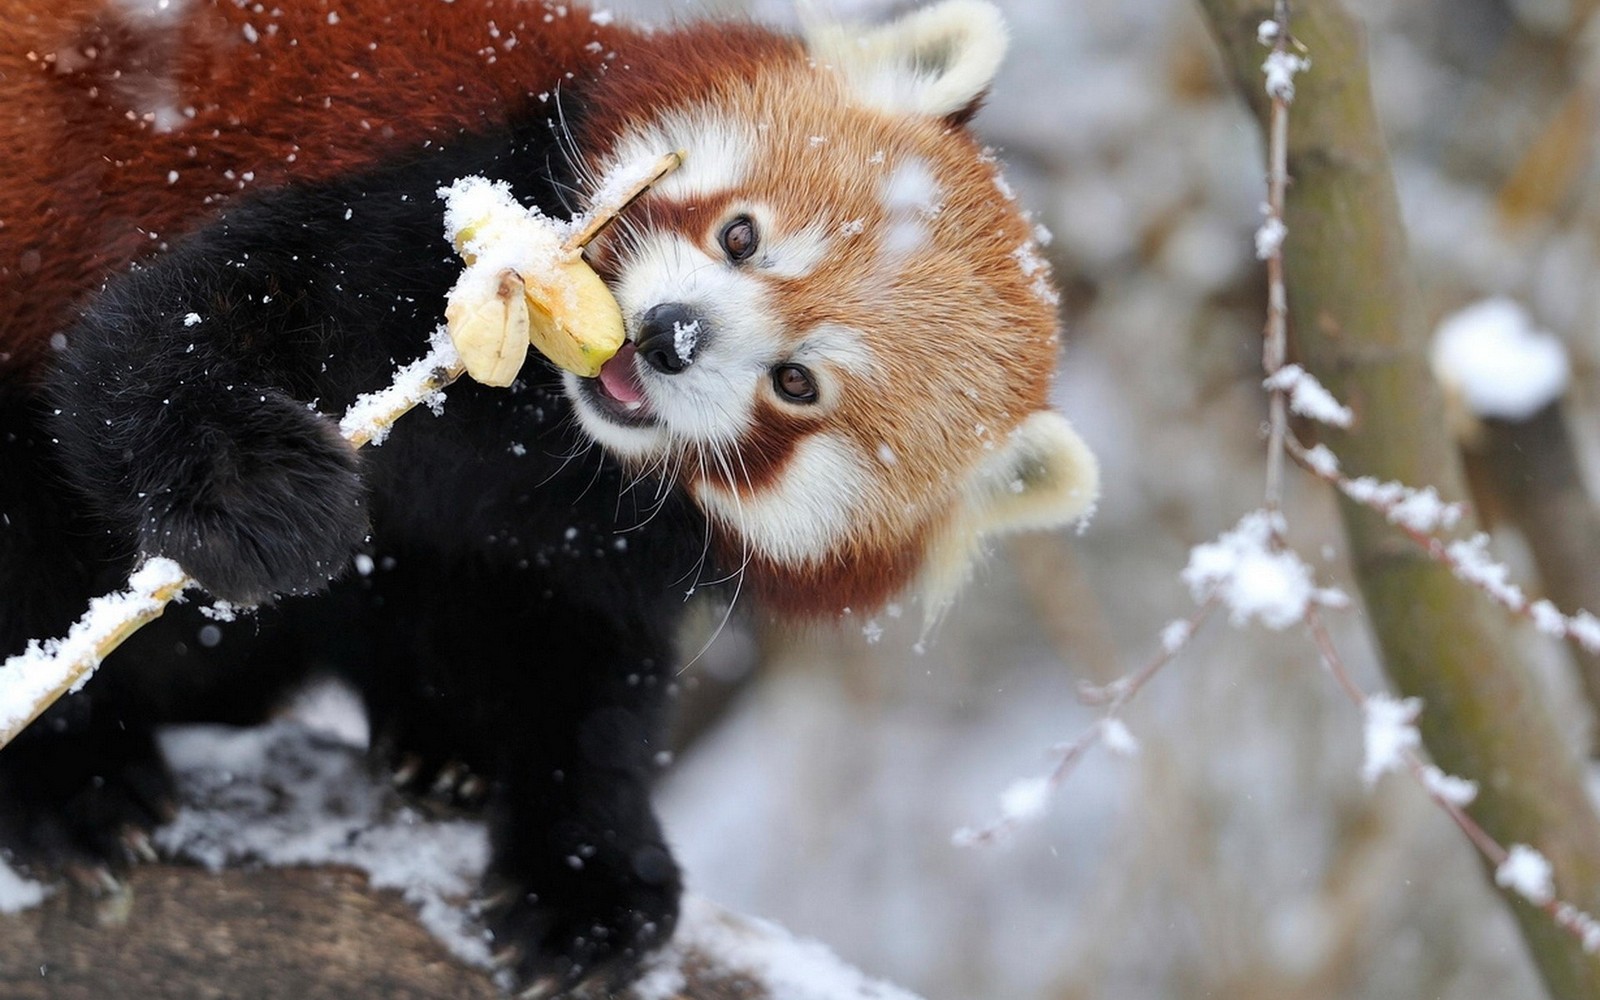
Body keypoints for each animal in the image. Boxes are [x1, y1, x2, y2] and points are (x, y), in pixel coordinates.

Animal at [0, 0, 1094, 992]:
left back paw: (439, 742)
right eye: (742, 236)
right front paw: (257, 492)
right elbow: (170, 329)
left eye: (798, 383)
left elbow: (583, 675)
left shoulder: (596, 543)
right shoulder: (427, 206)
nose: (670, 334)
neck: (543, 431)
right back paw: (69, 778)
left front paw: (591, 876)